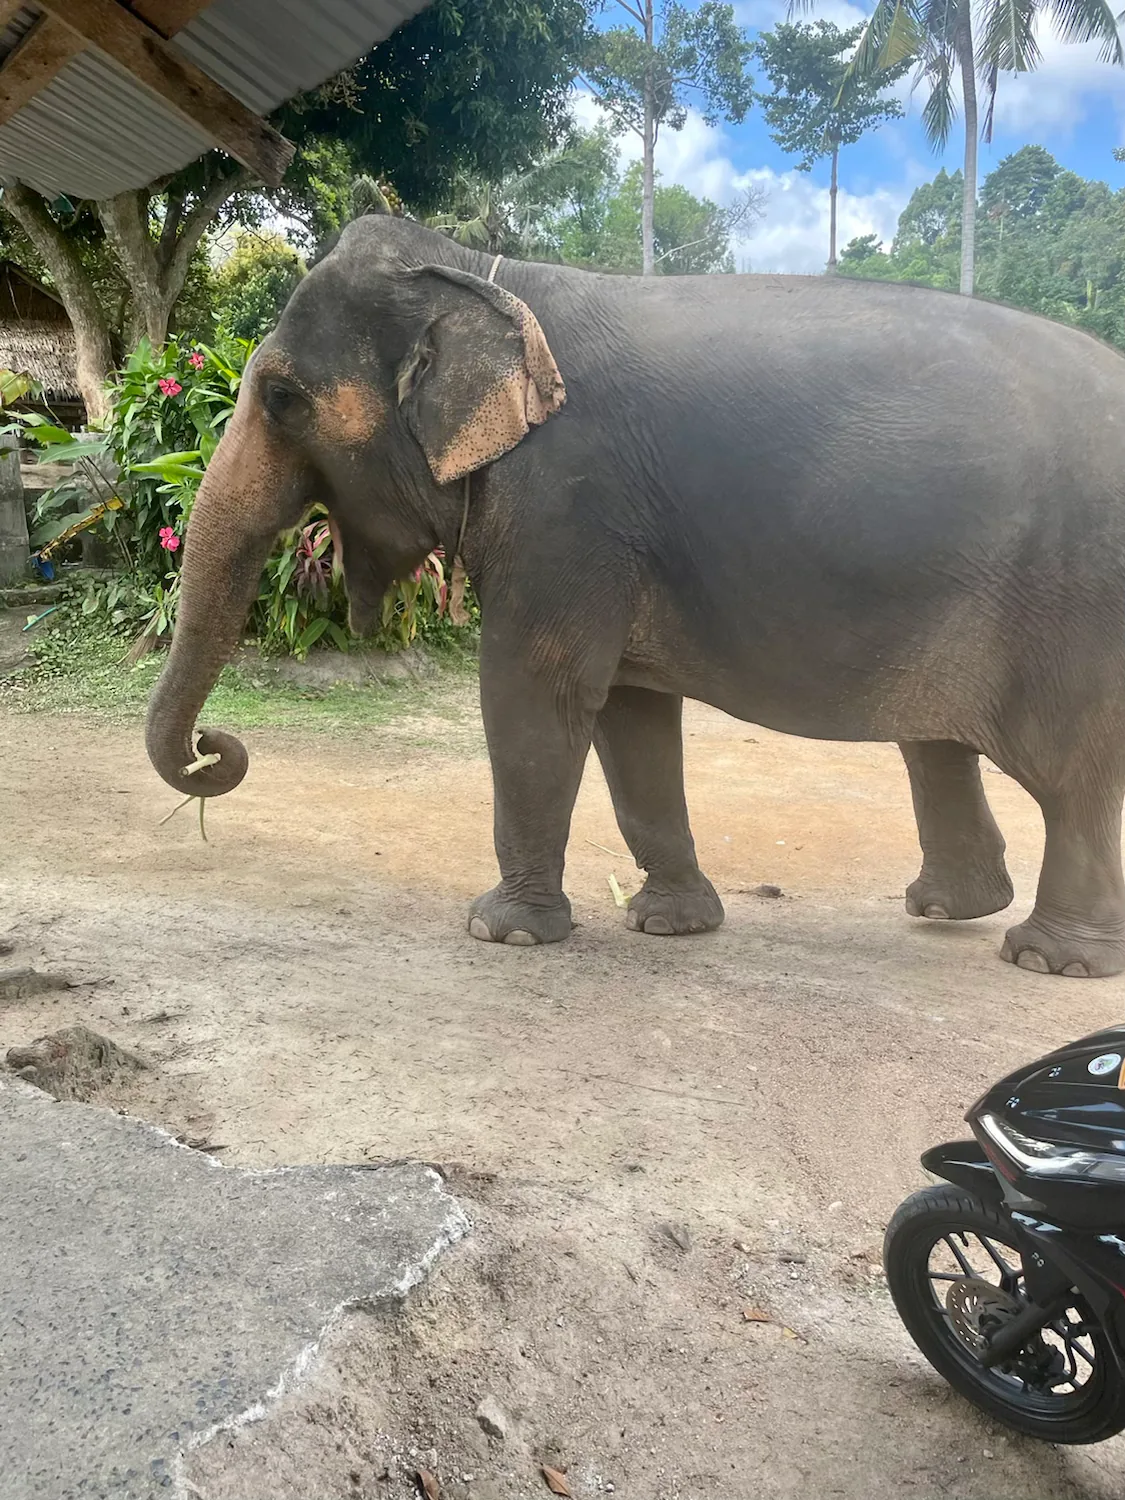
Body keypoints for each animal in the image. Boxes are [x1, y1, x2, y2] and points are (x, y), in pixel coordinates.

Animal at [146, 211, 1125, 978]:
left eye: (281, 397)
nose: (212, 747)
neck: (482, 273)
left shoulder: (566, 505)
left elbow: (534, 692)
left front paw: (501, 933)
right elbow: (629, 712)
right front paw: (669, 924)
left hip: (1075, 605)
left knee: (1065, 774)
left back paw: (1049, 956)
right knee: (937, 747)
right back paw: (951, 909)